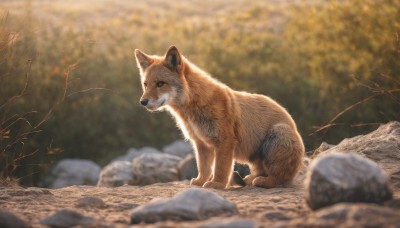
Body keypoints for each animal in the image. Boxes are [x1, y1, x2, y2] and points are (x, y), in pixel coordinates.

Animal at [134, 45, 304, 189]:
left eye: (160, 84)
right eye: (145, 84)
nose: (143, 102)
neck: (194, 105)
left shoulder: (224, 141)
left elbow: (220, 168)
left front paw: (217, 184)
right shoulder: (201, 143)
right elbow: (204, 168)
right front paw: (201, 181)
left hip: (277, 134)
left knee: (281, 178)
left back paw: (263, 181)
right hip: (254, 157)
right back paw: (248, 180)